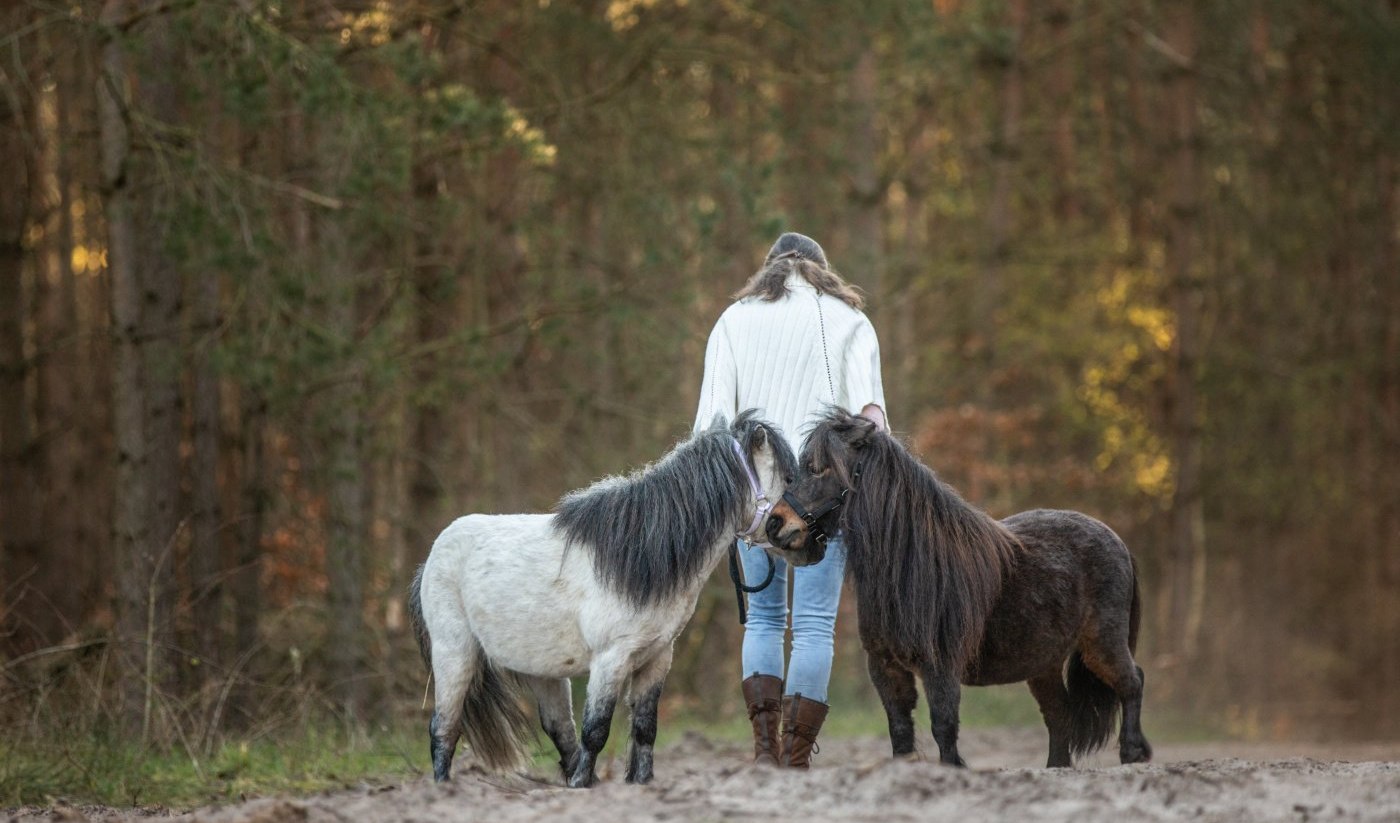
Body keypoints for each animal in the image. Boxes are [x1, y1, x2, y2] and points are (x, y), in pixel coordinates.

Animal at [408, 414, 800, 789]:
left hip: (543, 669)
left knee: (559, 731)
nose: (798, 533)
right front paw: (584, 787)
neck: (639, 555)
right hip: (454, 653)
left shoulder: (656, 659)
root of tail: (431, 557)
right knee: (444, 728)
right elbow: (595, 731)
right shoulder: (610, 660)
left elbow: (644, 729)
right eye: (789, 478)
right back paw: (443, 789)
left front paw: (639, 784)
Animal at [772, 411, 1153, 772]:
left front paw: (952, 769)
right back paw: (1056, 767)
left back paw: (1133, 753)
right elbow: (899, 728)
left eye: (818, 468)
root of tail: (1115, 539)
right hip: (1044, 662)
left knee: (1132, 681)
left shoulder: (939, 667)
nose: (775, 523)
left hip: (1101, 644)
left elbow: (943, 725)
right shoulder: (884, 666)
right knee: (1059, 714)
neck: (913, 566)